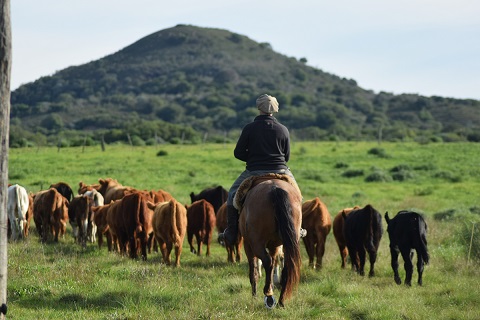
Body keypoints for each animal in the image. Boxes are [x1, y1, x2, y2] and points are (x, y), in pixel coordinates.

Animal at [238, 178, 302, 308]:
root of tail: (275, 189)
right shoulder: (274, 246)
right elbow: (273, 266)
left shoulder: (248, 245)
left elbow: (254, 271)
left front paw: (254, 295)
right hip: (288, 242)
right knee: (285, 266)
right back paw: (281, 301)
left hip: (256, 243)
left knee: (267, 261)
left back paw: (268, 294)